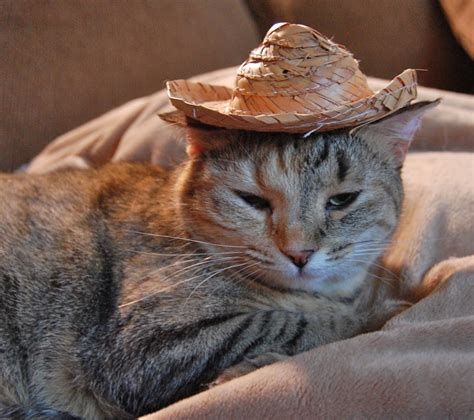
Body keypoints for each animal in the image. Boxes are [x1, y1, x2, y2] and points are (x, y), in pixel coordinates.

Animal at [0, 101, 436, 416]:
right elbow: (295, 323)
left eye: (342, 200)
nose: (299, 253)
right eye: (252, 201)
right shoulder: (139, 346)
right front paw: (377, 312)